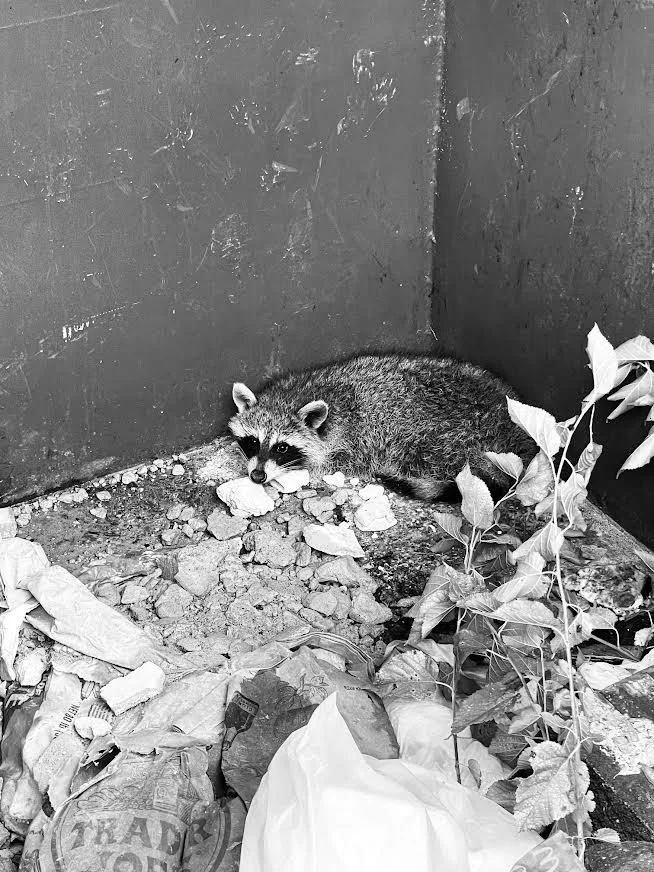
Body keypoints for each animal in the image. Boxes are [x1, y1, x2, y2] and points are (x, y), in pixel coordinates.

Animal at [227, 353, 534, 501]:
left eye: (282, 447)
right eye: (253, 441)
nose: (257, 476)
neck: (295, 395)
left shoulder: (359, 440)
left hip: (448, 438)